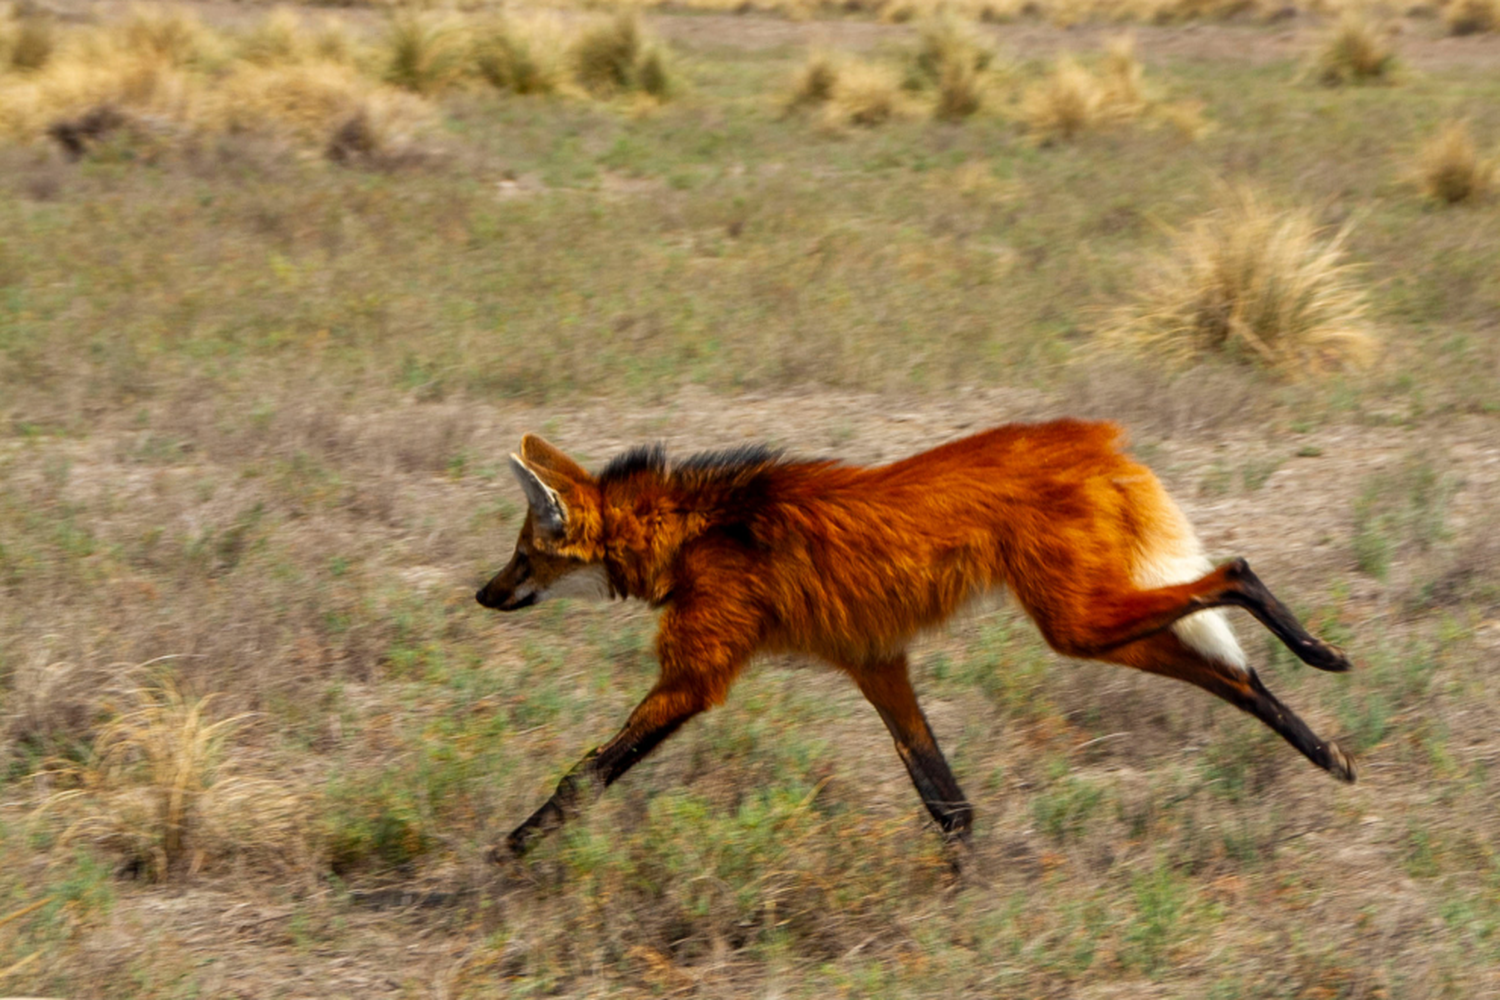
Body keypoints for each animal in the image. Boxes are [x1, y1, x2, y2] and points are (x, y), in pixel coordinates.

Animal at [474, 422, 1356, 863]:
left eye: (523, 555)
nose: (484, 594)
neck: (692, 531)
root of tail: (1093, 437)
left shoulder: (697, 678)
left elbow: (582, 779)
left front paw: (503, 859)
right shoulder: (875, 664)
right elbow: (949, 805)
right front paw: (968, 900)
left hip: (1075, 621)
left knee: (1233, 571)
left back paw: (1321, 652)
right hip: (1090, 621)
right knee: (1233, 676)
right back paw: (1331, 754)